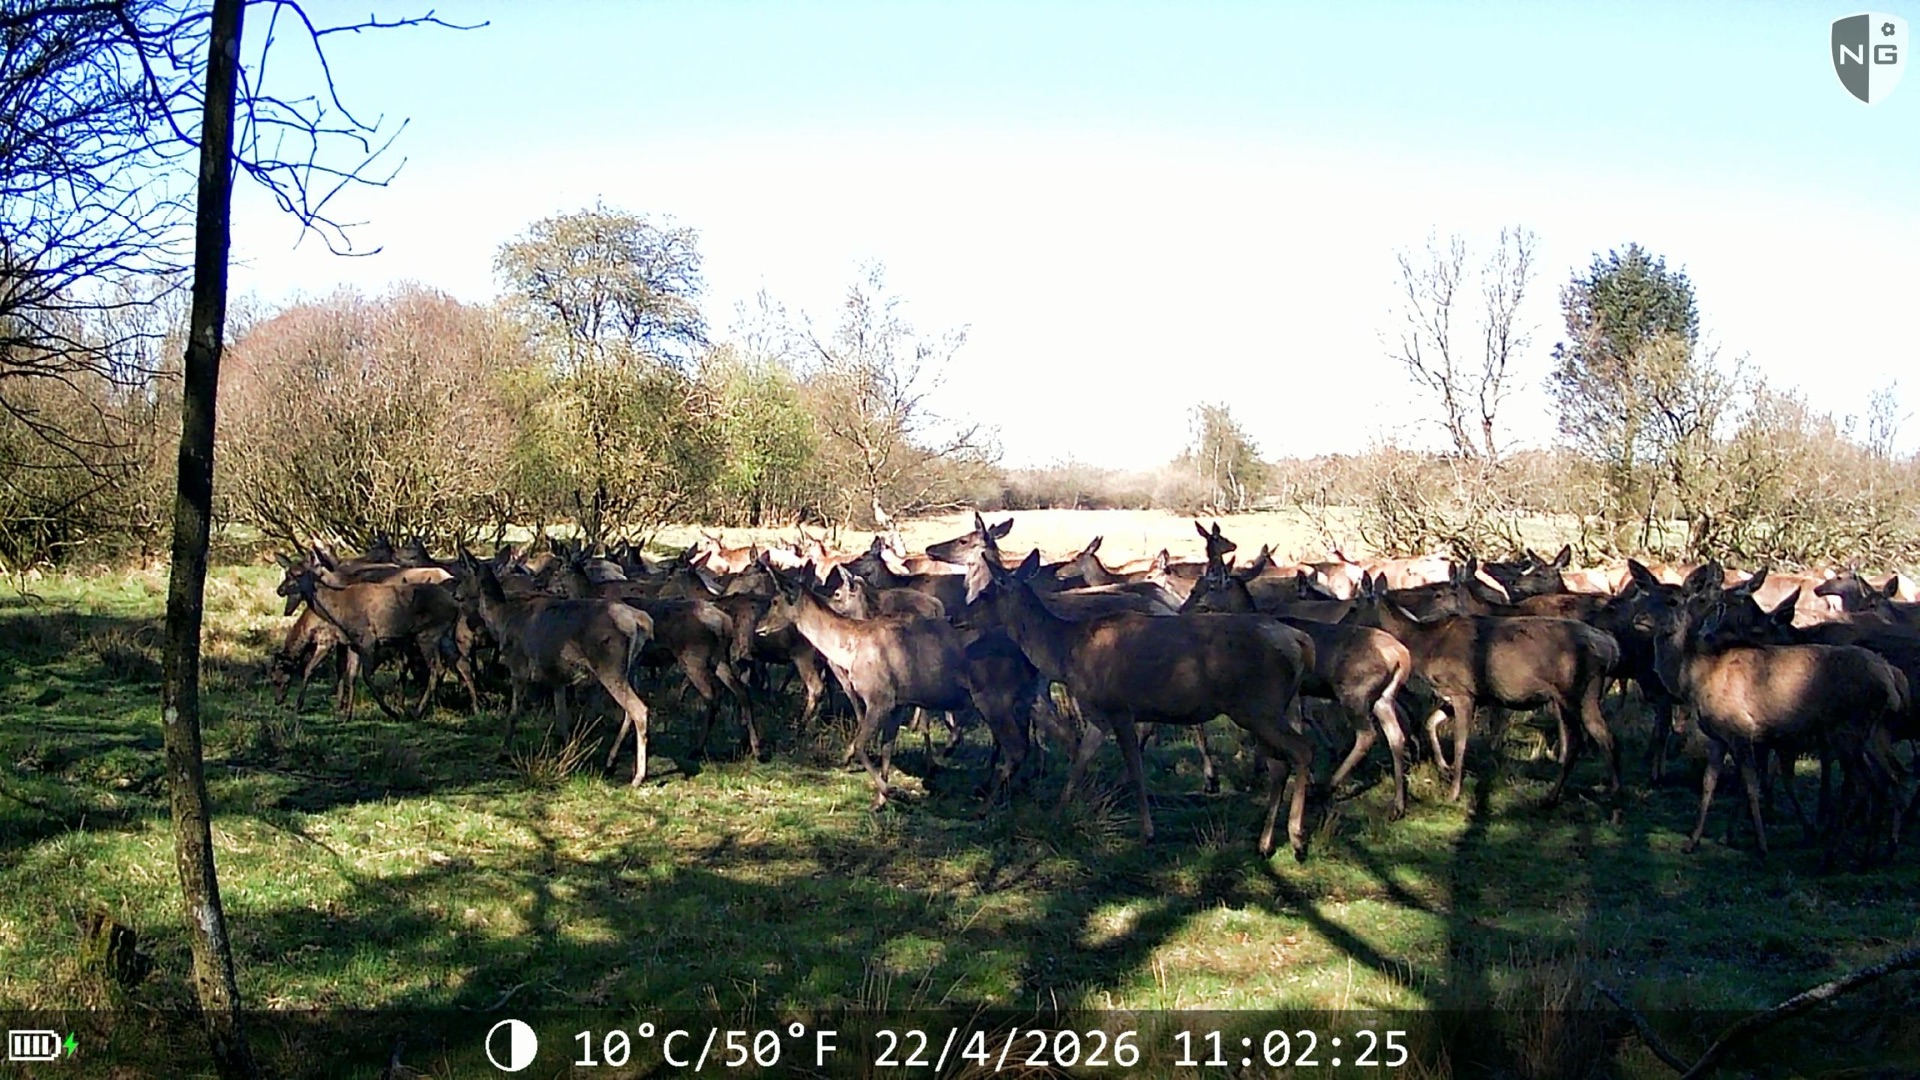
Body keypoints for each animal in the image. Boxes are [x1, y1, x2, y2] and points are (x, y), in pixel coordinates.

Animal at [457, 553, 657, 783]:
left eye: (464, 573)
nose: (456, 594)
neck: (501, 620)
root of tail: (640, 622)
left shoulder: (518, 665)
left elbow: (514, 713)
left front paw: (503, 753)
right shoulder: (557, 677)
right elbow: (561, 718)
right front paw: (566, 757)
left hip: (609, 665)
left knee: (638, 709)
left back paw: (637, 777)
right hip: (632, 667)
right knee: (629, 711)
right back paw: (610, 762)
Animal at [966, 516, 1317, 860]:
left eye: (985, 593)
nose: (958, 615)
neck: (1067, 652)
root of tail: (1300, 641)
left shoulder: (1120, 707)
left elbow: (1135, 769)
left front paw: (1147, 831)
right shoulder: (1099, 715)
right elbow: (1079, 763)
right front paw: (1056, 815)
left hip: (1258, 705)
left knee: (1302, 750)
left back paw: (1296, 837)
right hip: (1281, 705)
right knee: (1280, 764)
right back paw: (1266, 842)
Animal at [1347, 571, 1621, 806]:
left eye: (1353, 606)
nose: (1343, 623)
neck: (1423, 645)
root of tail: (1610, 646)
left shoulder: (1463, 691)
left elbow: (1460, 743)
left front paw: (1453, 792)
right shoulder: (1457, 694)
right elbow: (1430, 723)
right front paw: (1444, 767)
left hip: (1578, 691)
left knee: (1597, 737)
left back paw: (1610, 798)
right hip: (1573, 695)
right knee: (1586, 738)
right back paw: (1557, 797)